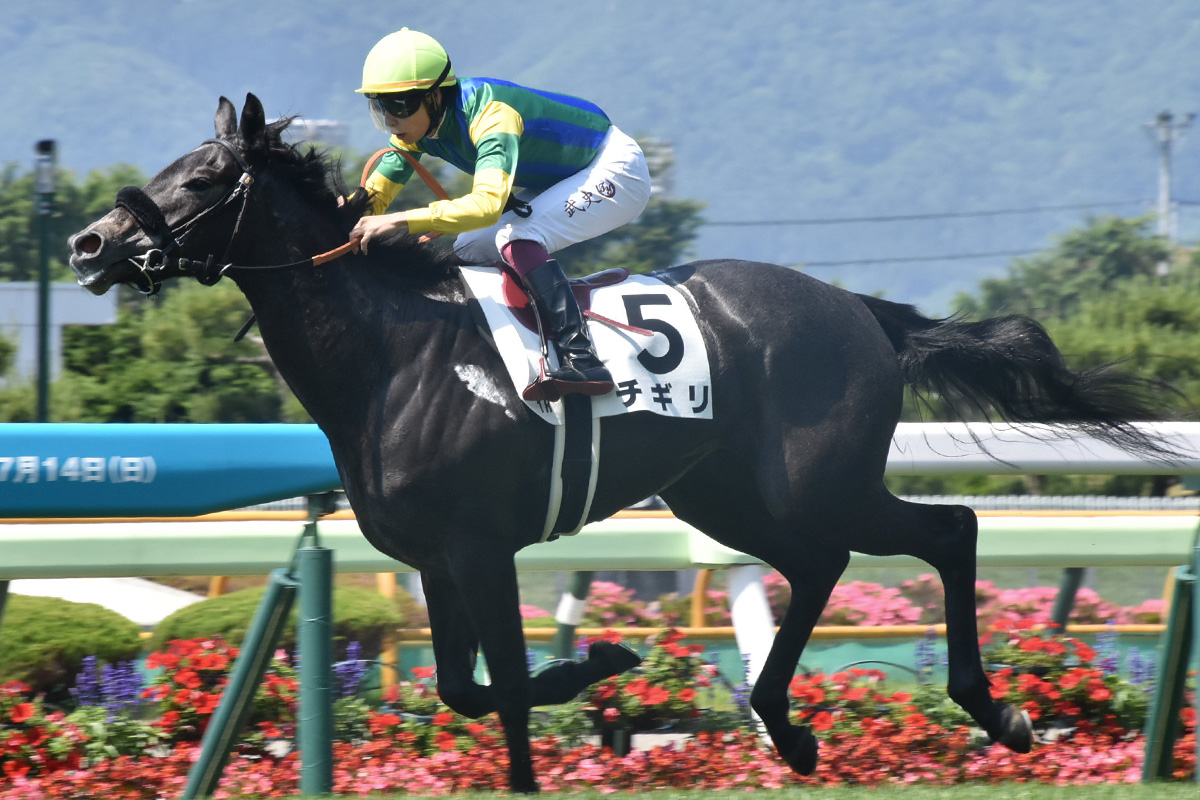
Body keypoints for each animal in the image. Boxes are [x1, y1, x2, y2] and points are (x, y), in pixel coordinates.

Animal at [68, 94, 1174, 792]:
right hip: (725, 494)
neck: (393, 356)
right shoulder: (435, 558)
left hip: (815, 481)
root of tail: (861, 309)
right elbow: (463, 687)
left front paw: (595, 660)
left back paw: (995, 711)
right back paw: (790, 728)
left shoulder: (482, 547)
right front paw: (601, 657)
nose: (87, 244)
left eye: (205, 176)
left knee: (948, 530)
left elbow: (512, 691)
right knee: (822, 563)